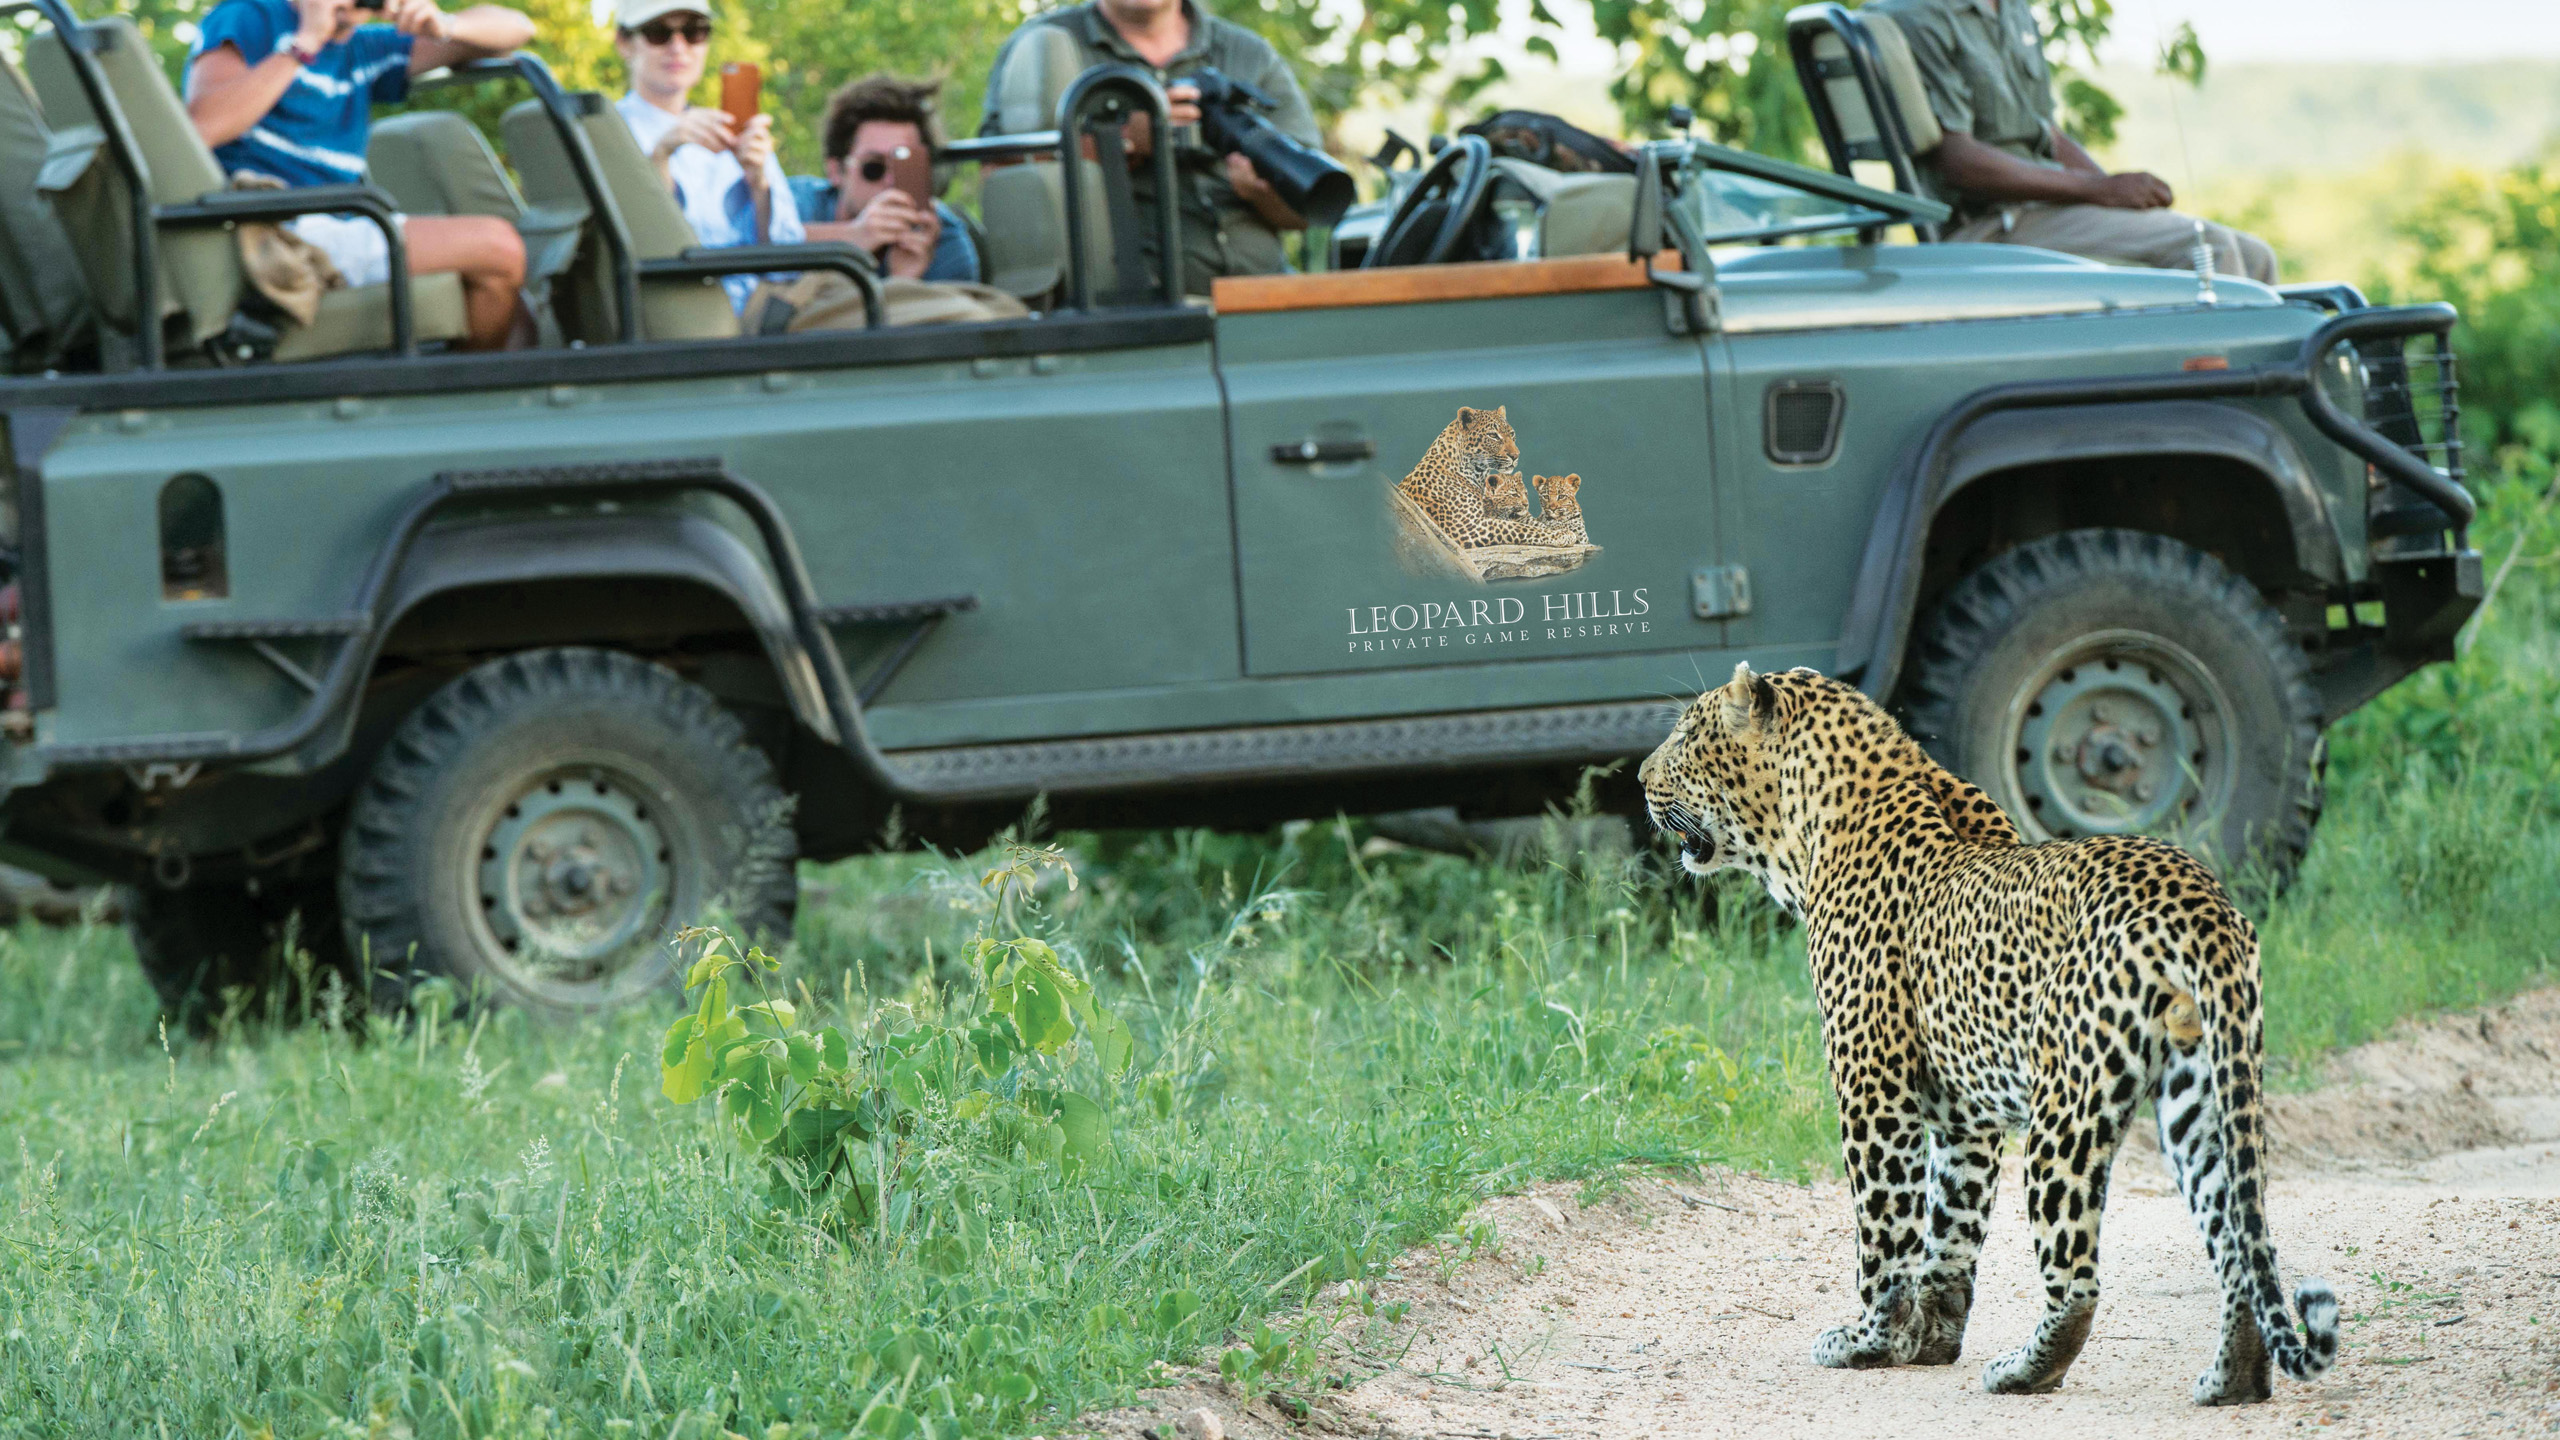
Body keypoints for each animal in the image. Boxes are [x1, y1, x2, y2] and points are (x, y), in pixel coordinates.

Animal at [1397, 406, 1582, 549]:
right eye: (1493, 435)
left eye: (1512, 434)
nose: (1516, 455)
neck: (1477, 473)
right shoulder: (1468, 527)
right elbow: (1517, 528)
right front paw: (1562, 534)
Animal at [1638, 663, 2338, 1406]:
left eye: (1686, 735)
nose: (1641, 778)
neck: (1809, 833)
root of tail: (2197, 898)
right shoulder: (1962, 1115)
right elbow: (1952, 1228)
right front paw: (1931, 1340)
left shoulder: (1873, 1090)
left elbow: (1883, 1229)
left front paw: (1868, 1342)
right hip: (2202, 1095)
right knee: (2237, 1241)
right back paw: (2232, 1378)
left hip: (2066, 1108)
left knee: (2078, 1275)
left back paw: (2025, 1370)